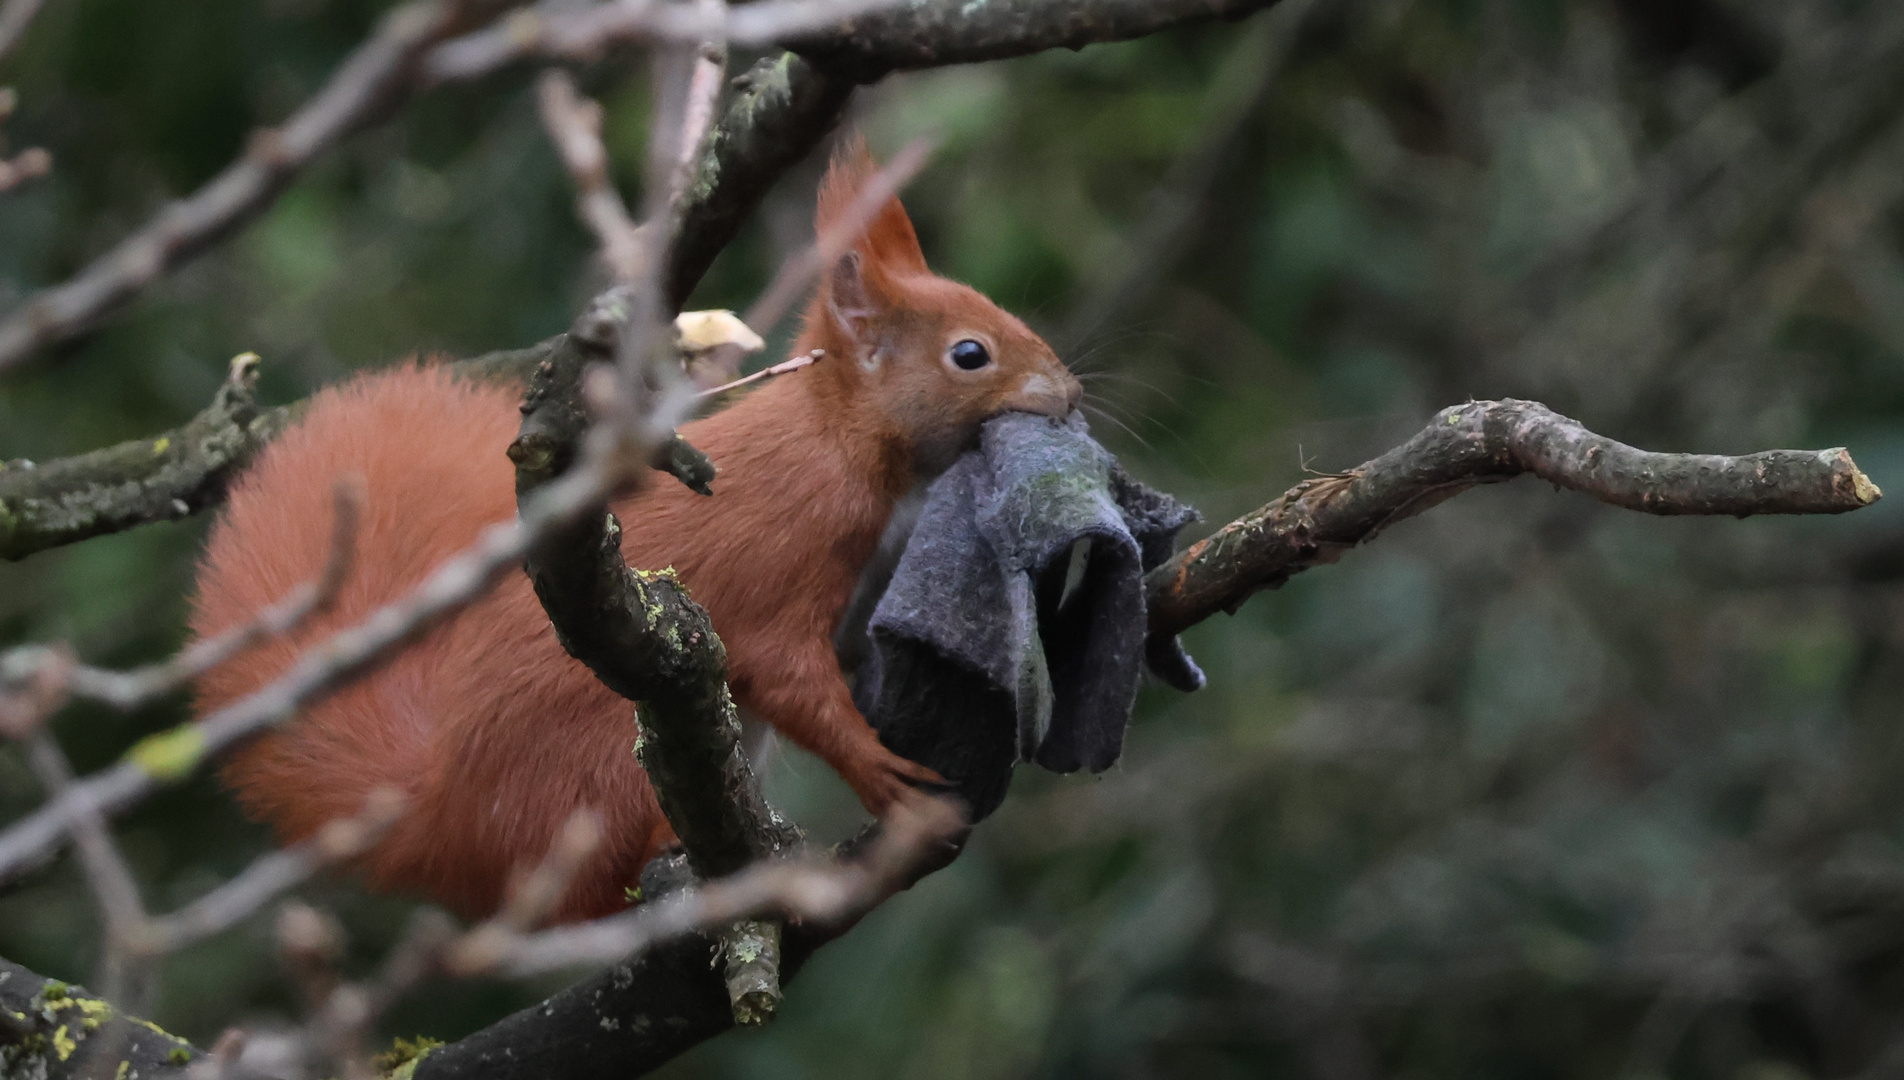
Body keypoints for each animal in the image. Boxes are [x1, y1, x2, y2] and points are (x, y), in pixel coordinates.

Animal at [197, 141, 1089, 921]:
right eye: (969, 354)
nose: (1071, 393)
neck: (842, 440)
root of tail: (448, 818)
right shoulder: (786, 551)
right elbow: (787, 674)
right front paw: (882, 773)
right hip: (603, 769)